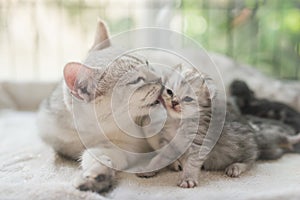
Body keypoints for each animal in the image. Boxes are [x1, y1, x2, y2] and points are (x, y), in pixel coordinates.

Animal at [38, 19, 164, 192]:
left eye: (147, 63)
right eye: (137, 80)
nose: (161, 79)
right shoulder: (118, 149)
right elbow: (96, 157)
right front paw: (96, 176)